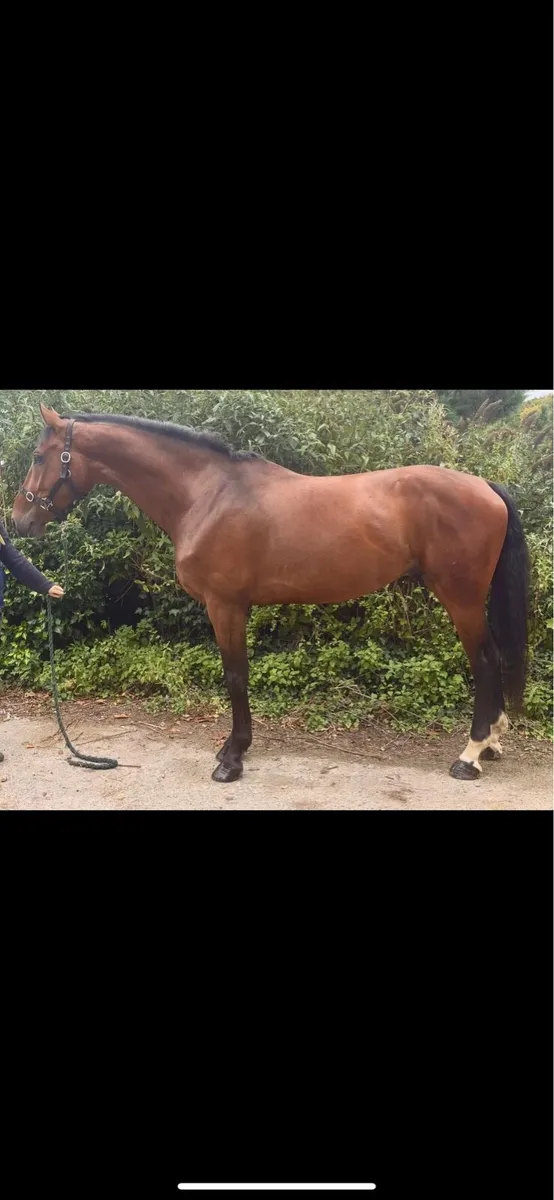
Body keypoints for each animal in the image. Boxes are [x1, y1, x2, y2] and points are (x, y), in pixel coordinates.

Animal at [11, 402, 529, 785]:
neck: (206, 494)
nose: (19, 520)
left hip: (460, 597)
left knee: (485, 661)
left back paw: (471, 754)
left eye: (38, 457)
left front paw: (231, 759)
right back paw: (492, 743)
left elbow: (235, 677)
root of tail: (485, 486)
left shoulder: (226, 607)